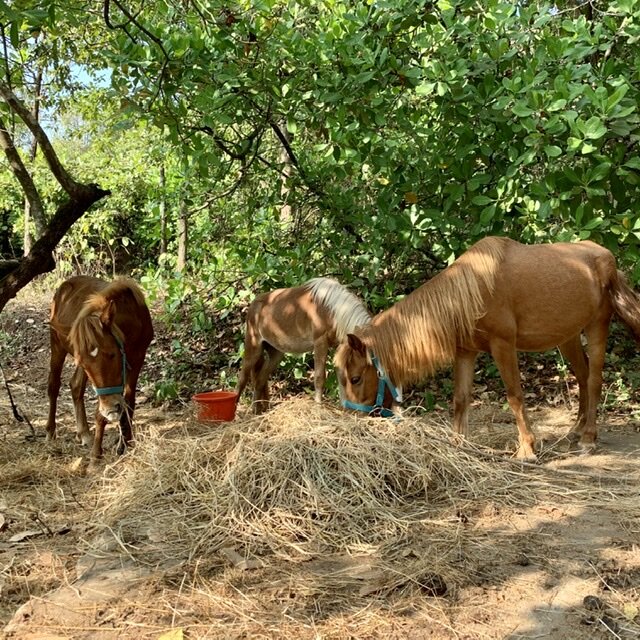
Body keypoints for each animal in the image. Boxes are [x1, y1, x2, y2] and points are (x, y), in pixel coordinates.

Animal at [46, 276, 154, 460]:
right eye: (84, 362)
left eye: (112, 354)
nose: (111, 408)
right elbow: (100, 411)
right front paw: (97, 454)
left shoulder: (137, 360)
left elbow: (129, 400)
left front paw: (125, 443)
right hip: (57, 346)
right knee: (54, 385)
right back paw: (50, 431)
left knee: (75, 386)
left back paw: (84, 433)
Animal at [238, 278, 372, 412]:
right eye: (357, 378)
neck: (332, 310)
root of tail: (254, 304)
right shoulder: (320, 343)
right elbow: (319, 377)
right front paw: (318, 406)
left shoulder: (338, 346)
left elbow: (341, 377)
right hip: (253, 348)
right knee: (243, 378)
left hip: (275, 354)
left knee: (259, 381)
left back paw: (256, 411)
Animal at [332, 238, 640, 458]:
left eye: (355, 378)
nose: (352, 420)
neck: (471, 291)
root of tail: (607, 259)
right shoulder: (465, 352)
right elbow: (460, 399)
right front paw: (459, 442)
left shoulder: (503, 346)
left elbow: (515, 396)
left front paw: (527, 449)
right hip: (568, 336)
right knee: (582, 376)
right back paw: (576, 429)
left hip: (596, 327)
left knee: (594, 379)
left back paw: (588, 438)